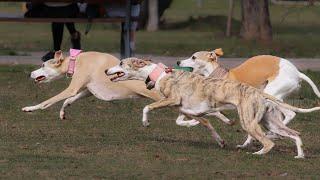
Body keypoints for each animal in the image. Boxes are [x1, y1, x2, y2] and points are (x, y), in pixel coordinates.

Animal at [105, 57, 320, 158]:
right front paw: (214, 132)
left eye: (121, 63)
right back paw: (300, 155)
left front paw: (145, 122)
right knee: (295, 134)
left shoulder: (173, 100)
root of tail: (259, 93)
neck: (161, 74)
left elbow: (147, 107)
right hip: (271, 122)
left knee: (268, 142)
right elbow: (199, 119)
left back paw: (258, 152)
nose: (106, 70)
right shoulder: (190, 108)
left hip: (250, 122)